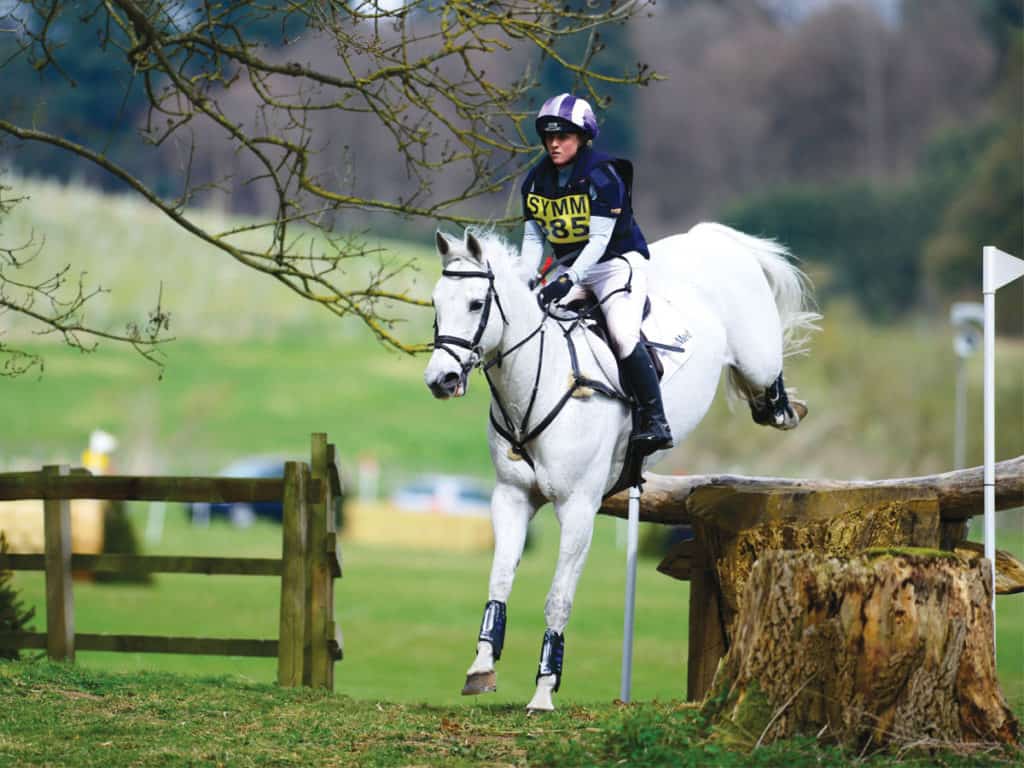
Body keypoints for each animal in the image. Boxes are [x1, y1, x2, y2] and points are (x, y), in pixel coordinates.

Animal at [421, 221, 815, 708]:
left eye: (477, 304)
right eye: (436, 303)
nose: (440, 380)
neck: (538, 381)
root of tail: (713, 235)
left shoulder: (578, 507)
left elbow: (559, 597)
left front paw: (544, 691)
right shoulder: (511, 497)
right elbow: (498, 582)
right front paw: (481, 666)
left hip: (757, 355)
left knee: (765, 386)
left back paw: (786, 408)